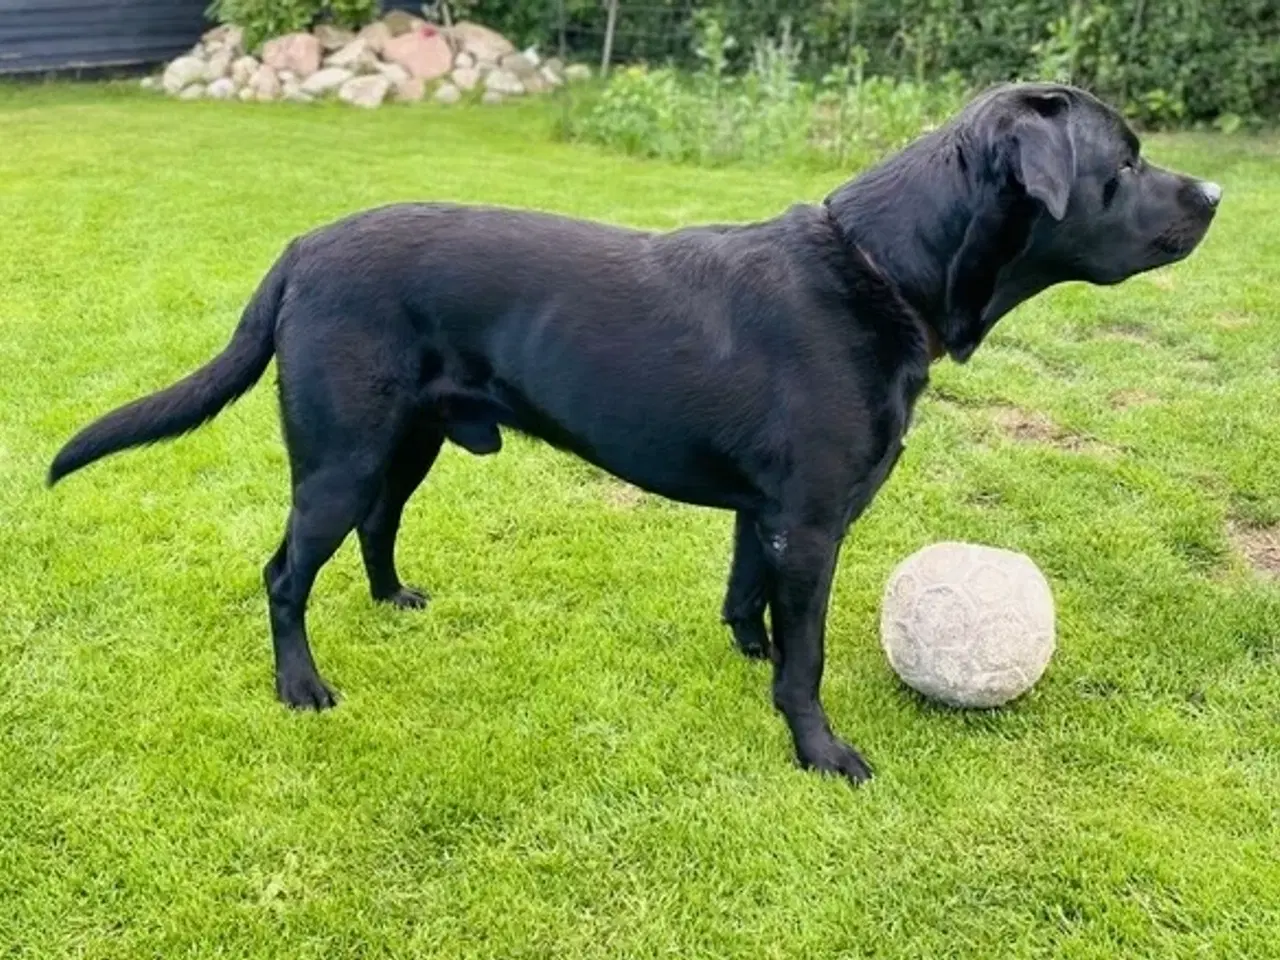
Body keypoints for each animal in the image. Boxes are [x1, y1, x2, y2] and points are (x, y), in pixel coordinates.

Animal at [47, 86, 1218, 783]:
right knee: (284, 571)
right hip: (340, 455)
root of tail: (300, 247)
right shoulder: (813, 521)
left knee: (377, 529)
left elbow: (748, 599)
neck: (880, 270)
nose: (1214, 189)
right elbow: (807, 652)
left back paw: (392, 600)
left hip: (405, 442)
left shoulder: (767, 515)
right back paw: (301, 687)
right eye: (1124, 163)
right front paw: (817, 747)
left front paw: (747, 656)